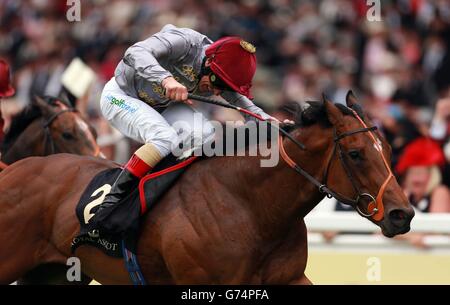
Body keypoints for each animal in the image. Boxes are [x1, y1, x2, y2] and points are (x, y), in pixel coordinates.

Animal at [0, 92, 414, 282]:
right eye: (356, 154)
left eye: (388, 147)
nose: (403, 214)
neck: (252, 209)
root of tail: (13, 171)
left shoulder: (291, 277)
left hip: (56, 273)